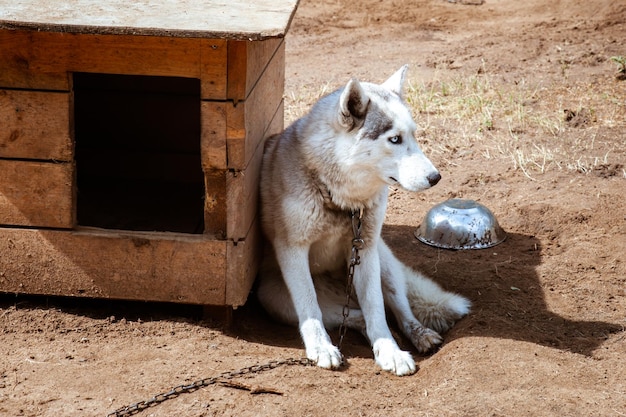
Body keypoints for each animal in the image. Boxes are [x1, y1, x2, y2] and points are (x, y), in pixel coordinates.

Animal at [255, 65, 468, 374]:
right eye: (394, 139)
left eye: (413, 136)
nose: (435, 177)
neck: (340, 200)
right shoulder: (292, 251)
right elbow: (311, 309)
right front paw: (321, 348)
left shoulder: (365, 250)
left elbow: (376, 310)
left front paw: (390, 352)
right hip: (275, 297)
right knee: (351, 316)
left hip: (384, 264)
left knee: (396, 310)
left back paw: (419, 335)